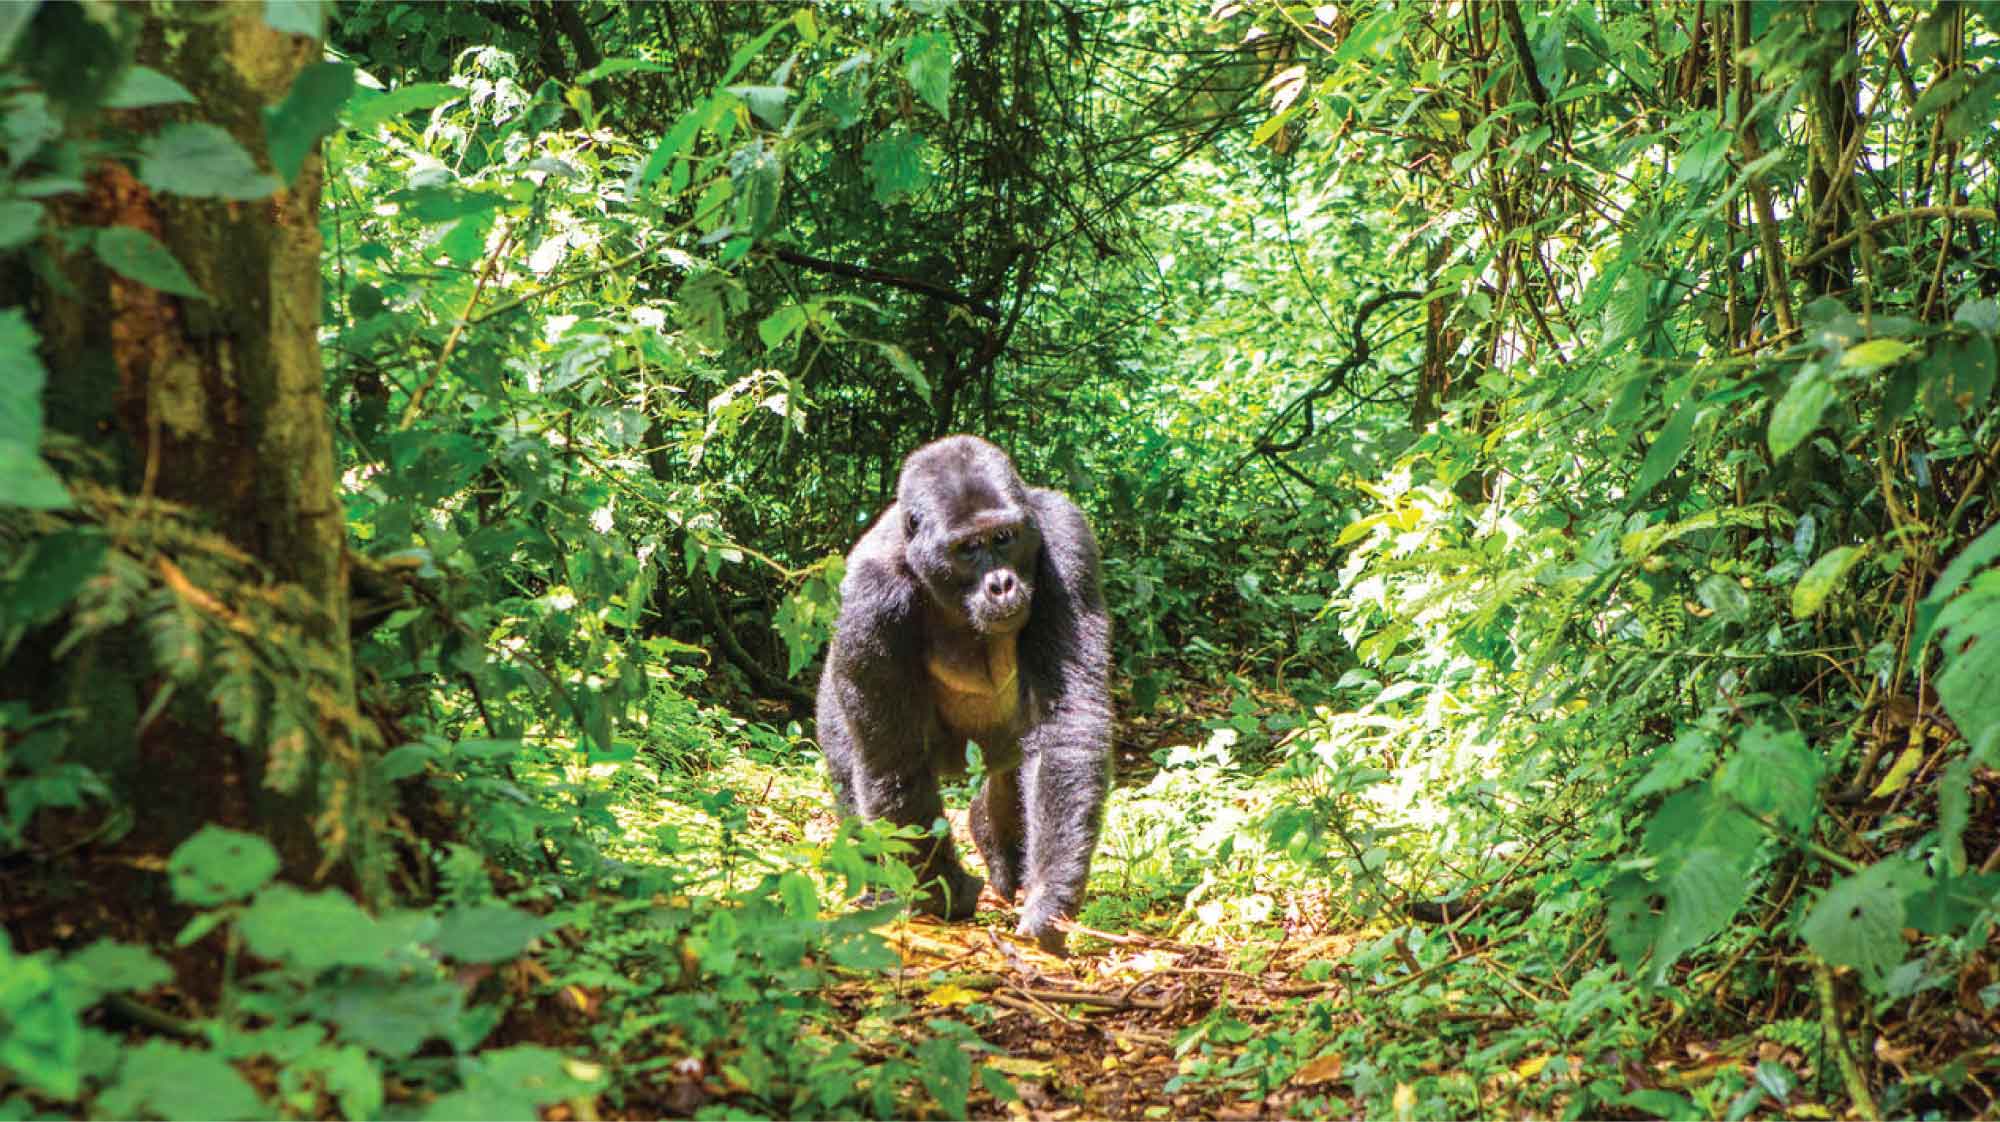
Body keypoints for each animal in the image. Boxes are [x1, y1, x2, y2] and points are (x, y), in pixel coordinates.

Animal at [816, 435, 1112, 954]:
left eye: (1004, 538)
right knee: (852, 767)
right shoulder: (870, 596)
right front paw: (944, 893)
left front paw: (1050, 897)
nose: (1002, 585)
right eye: (967, 549)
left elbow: (1066, 722)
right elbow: (894, 759)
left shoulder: (1065, 537)